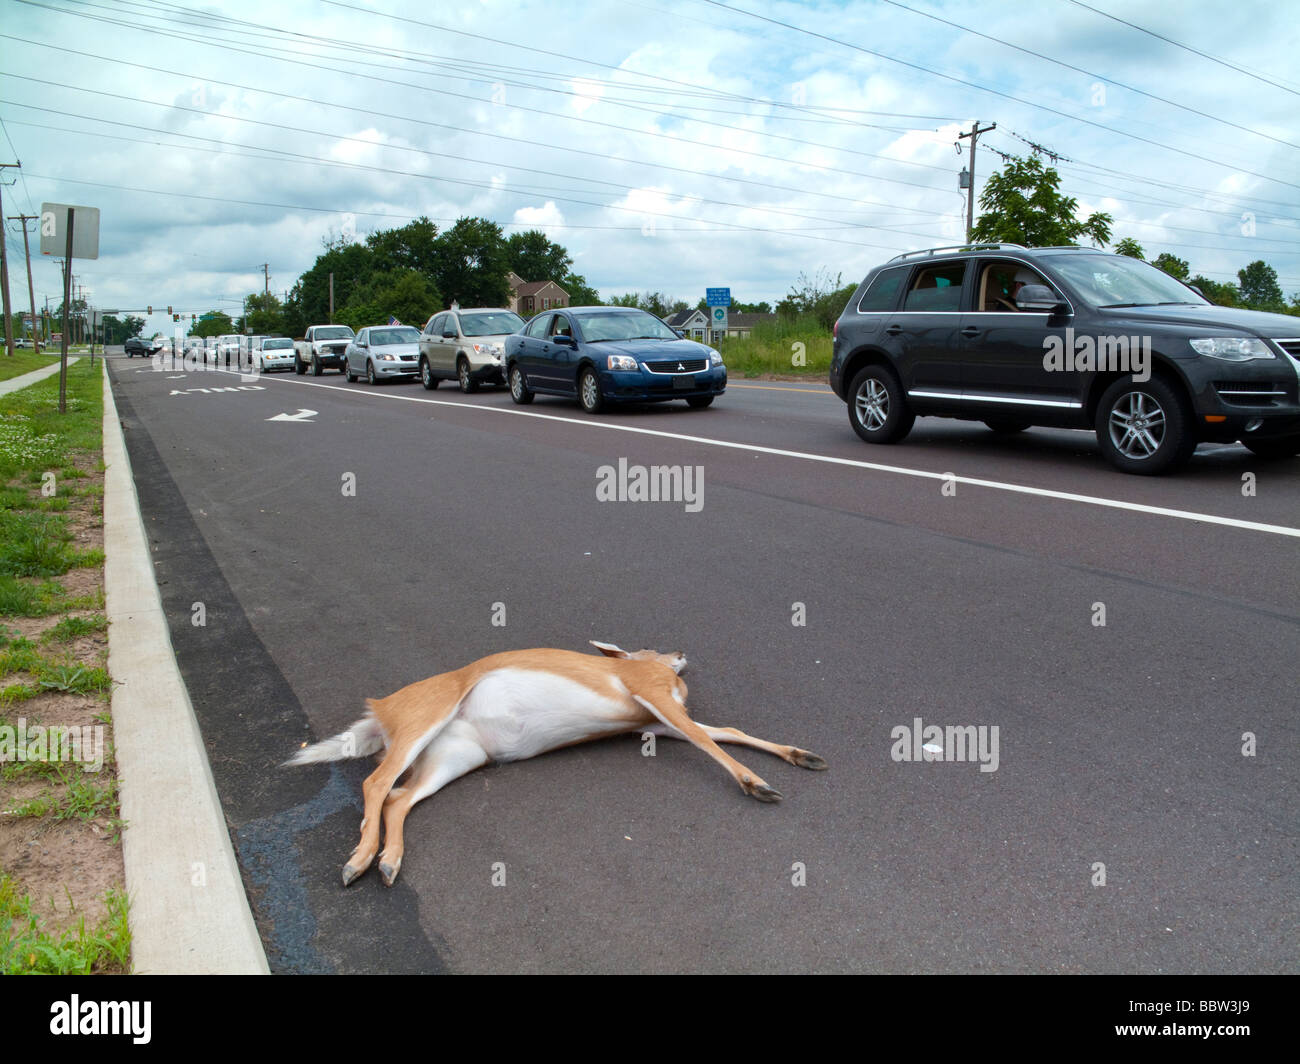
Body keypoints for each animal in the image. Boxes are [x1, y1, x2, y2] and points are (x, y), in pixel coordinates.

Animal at [284, 641, 828, 887]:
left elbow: (725, 732)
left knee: (399, 796)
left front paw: (803, 756)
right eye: (649, 647)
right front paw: (757, 784)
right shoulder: (651, 695)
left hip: (457, 755)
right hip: (424, 720)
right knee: (376, 782)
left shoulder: (654, 725)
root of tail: (380, 712)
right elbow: (709, 740)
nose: (680, 650)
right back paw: (358, 861)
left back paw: (389, 862)